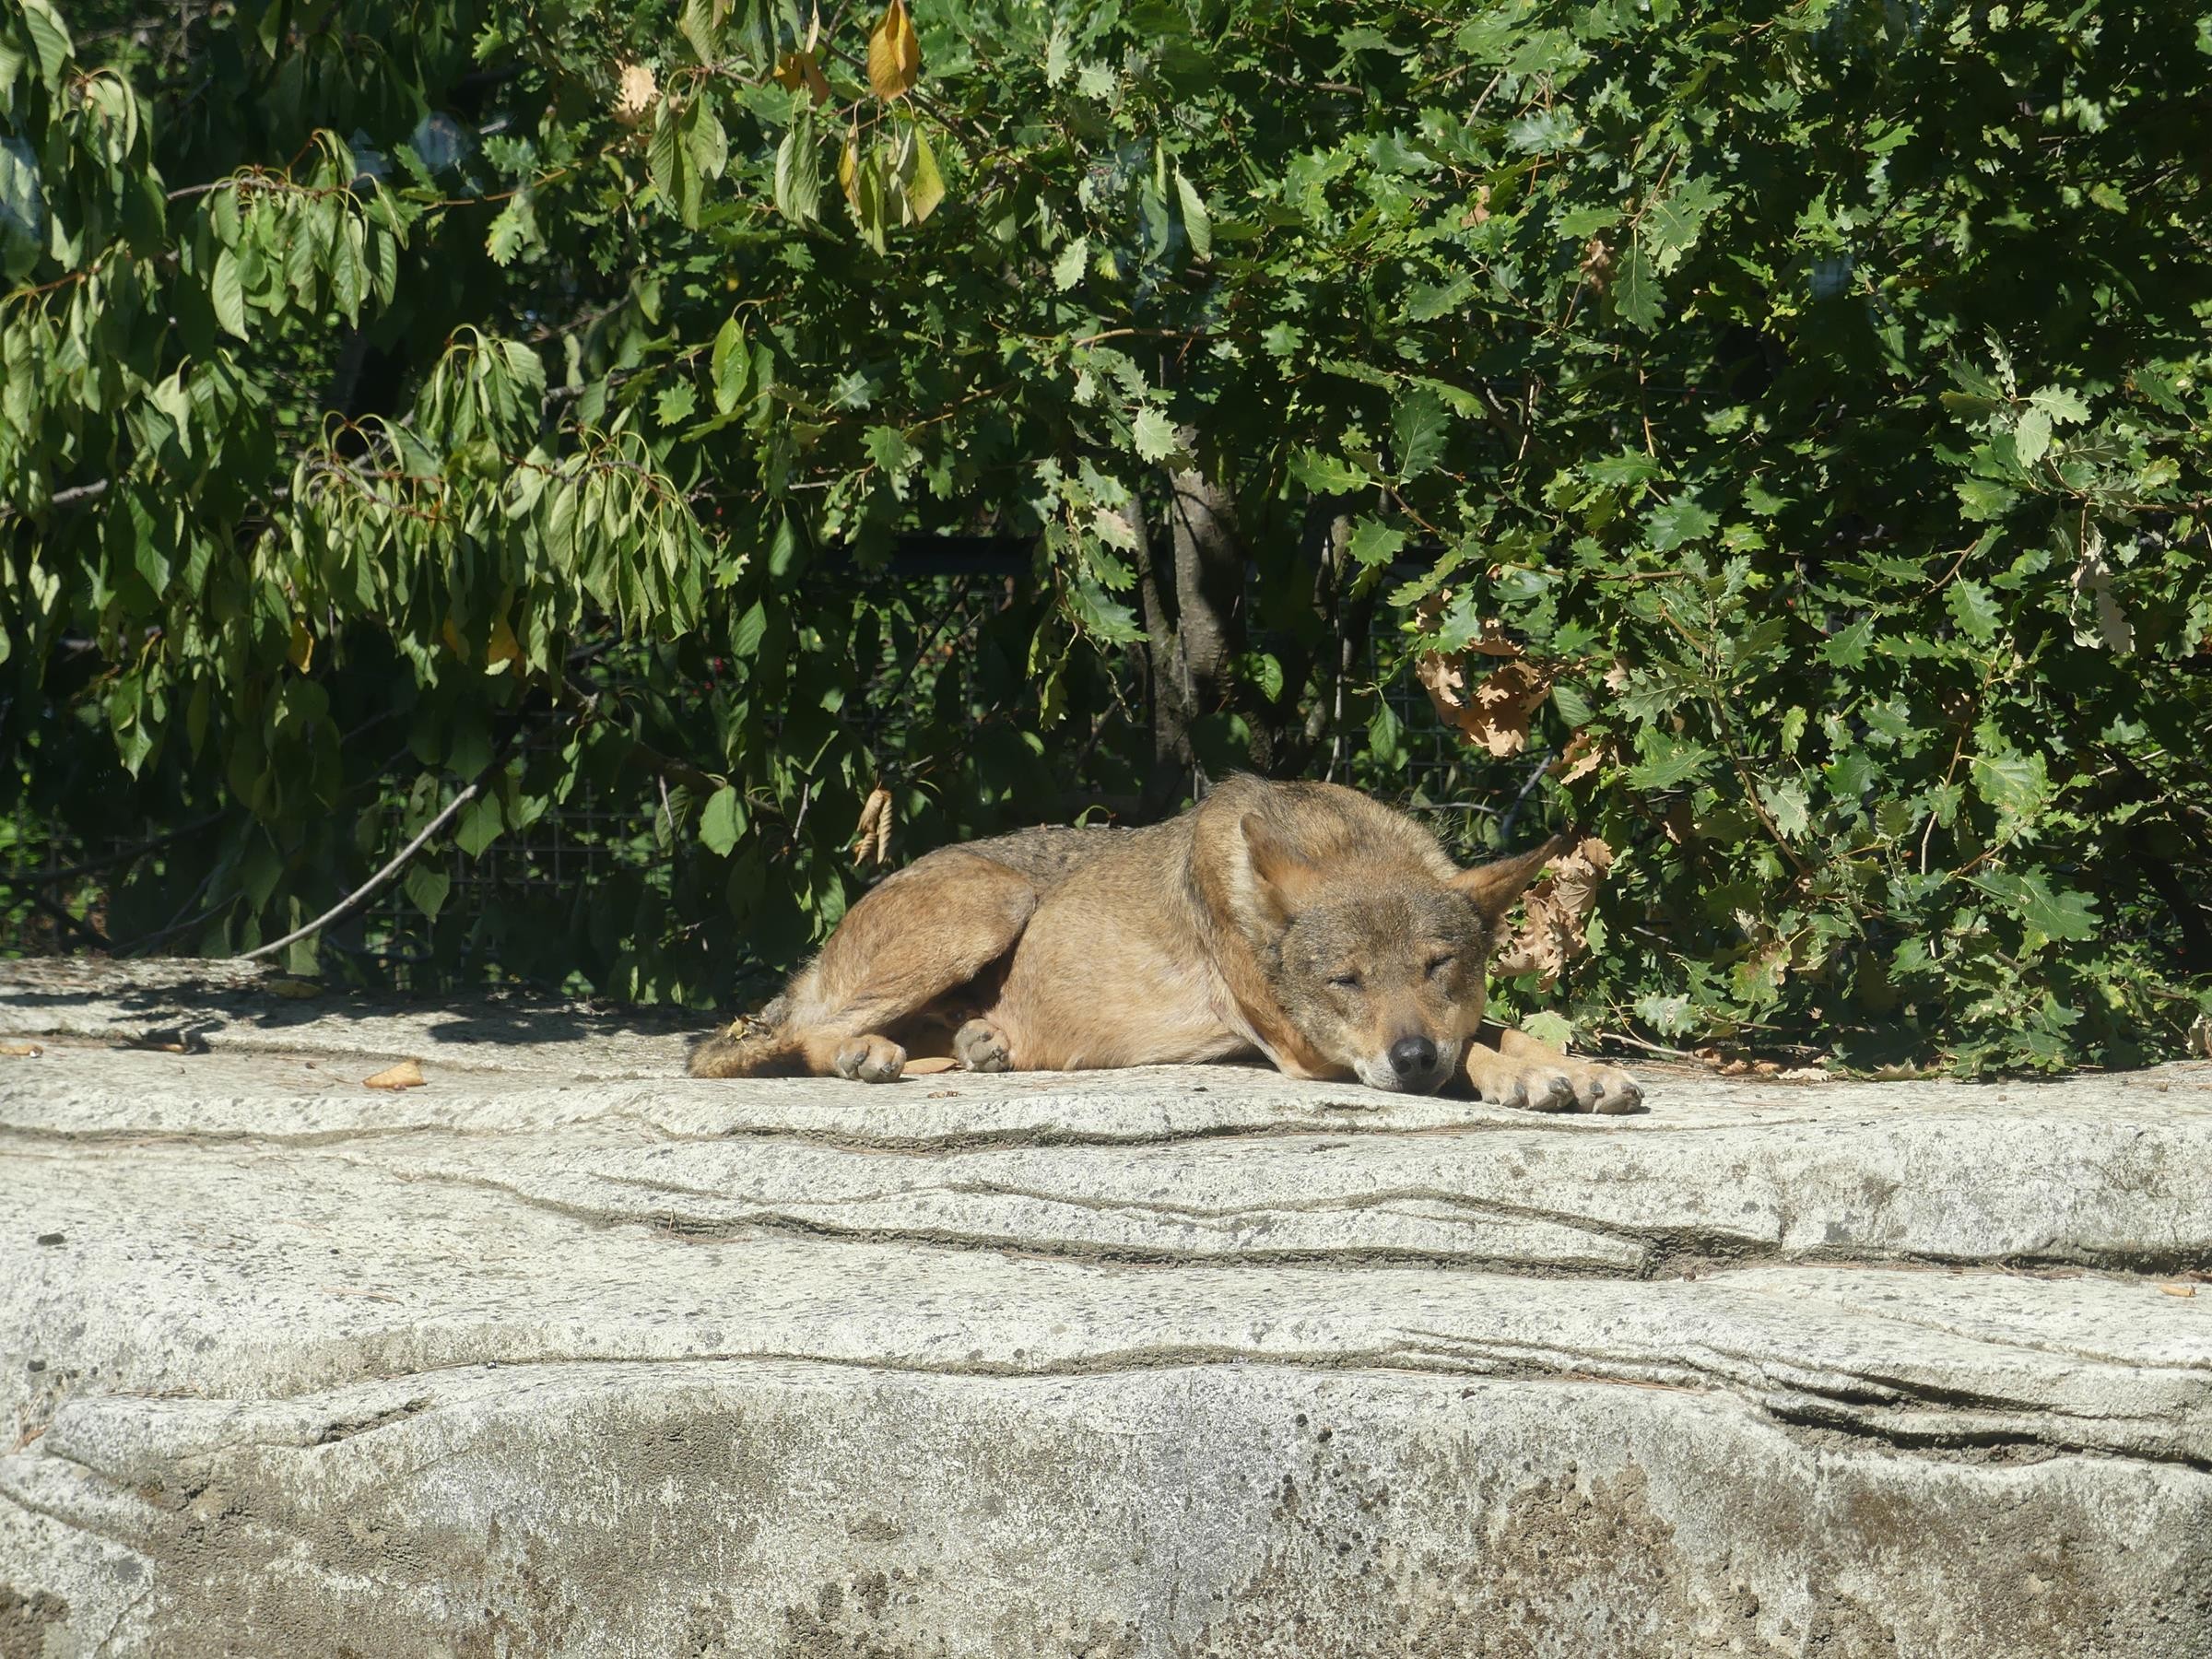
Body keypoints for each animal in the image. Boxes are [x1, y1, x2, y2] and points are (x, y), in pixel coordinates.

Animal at [689, 770, 1645, 1110]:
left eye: (1439, 966)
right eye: (1344, 982)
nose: (1411, 1058)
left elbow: (1494, 1028)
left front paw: (1577, 1068)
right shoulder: (1307, 1052)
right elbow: (1476, 1047)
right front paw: (1527, 1079)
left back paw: (974, 1045)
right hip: (991, 906)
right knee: (786, 1038)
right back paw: (867, 1056)